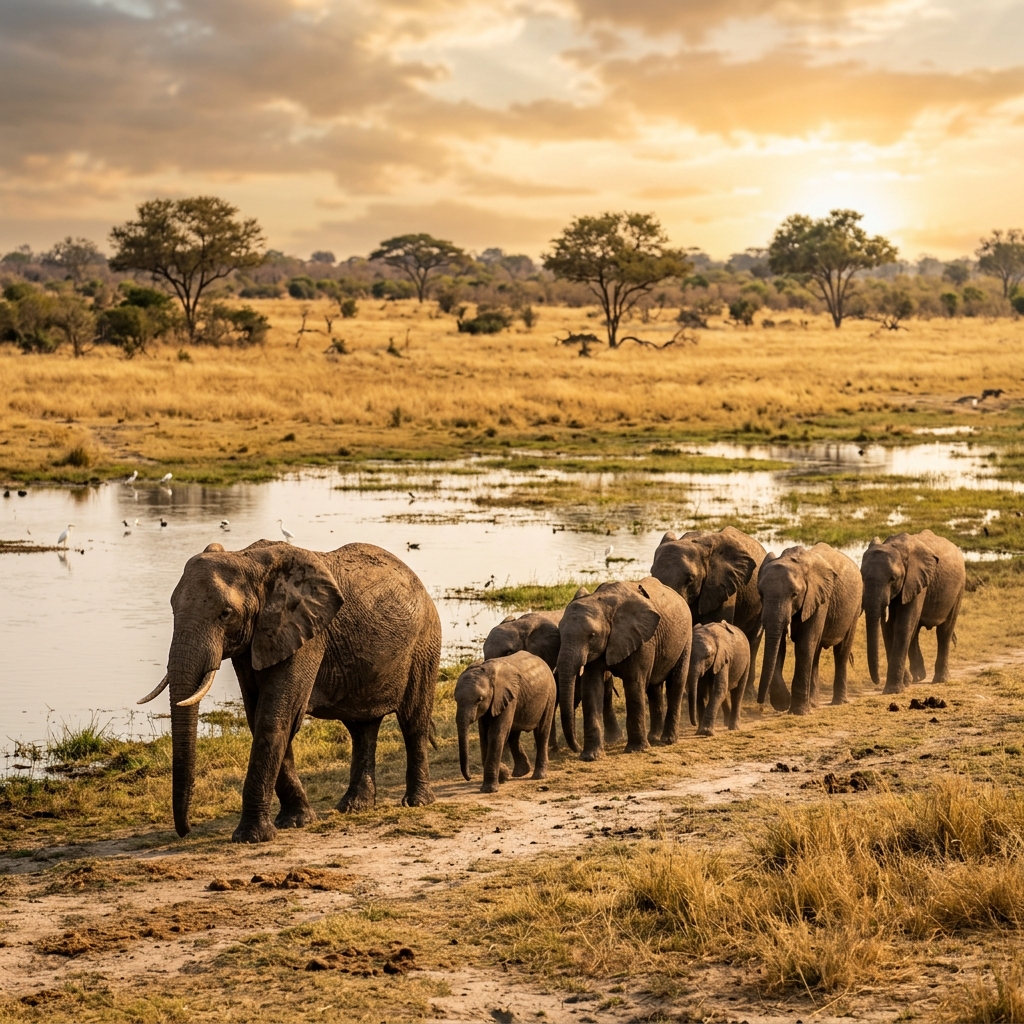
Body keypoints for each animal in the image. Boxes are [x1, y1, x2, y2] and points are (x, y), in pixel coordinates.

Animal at [139, 540, 440, 843]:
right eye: (173, 608)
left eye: (225, 614)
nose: (186, 830)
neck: (247, 560)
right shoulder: (256, 641)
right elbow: (258, 716)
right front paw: (296, 822)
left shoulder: (306, 635)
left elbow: (275, 718)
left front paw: (251, 837)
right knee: (361, 728)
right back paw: (353, 807)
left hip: (424, 643)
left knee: (413, 720)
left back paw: (416, 802)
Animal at [455, 651, 556, 793]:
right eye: (455, 700)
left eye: (479, 700)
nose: (469, 778)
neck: (486, 671)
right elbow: (484, 736)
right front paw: (503, 775)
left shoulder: (506, 697)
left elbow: (496, 734)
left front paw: (489, 789)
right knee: (514, 735)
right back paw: (520, 773)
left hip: (550, 695)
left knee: (541, 732)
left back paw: (538, 776)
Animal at [556, 578, 692, 760]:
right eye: (560, 633)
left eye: (592, 636)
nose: (576, 748)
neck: (604, 603)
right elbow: (591, 688)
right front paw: (591, 757)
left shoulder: (642, 640)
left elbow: (634, 684)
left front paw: (636, 749)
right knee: (653, 688)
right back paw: (653, 739)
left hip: (686, 638)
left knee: (675, 684)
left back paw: (667, 740)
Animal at [756, 544, 863, 716]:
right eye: (761, 594)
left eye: (794, 595)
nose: (760, 702)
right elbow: (780, 645)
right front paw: (783, 703)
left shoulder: (818, 598)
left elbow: (804, 645)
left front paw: (797, 711)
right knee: (816, 653)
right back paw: (813, 703)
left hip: (855, 606)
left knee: (841, 651)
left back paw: (837, 702)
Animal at [861, 530, 965, 693]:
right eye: (862, 576)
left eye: (892, 579)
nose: (877, 681)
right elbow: (888, 628)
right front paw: (906, 682)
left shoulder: (916, 580)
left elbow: (903, 625)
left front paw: (893, 690)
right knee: (915, 631)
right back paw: (917, 677)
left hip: (959, 588)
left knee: (944, 630)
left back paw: (940, 680)